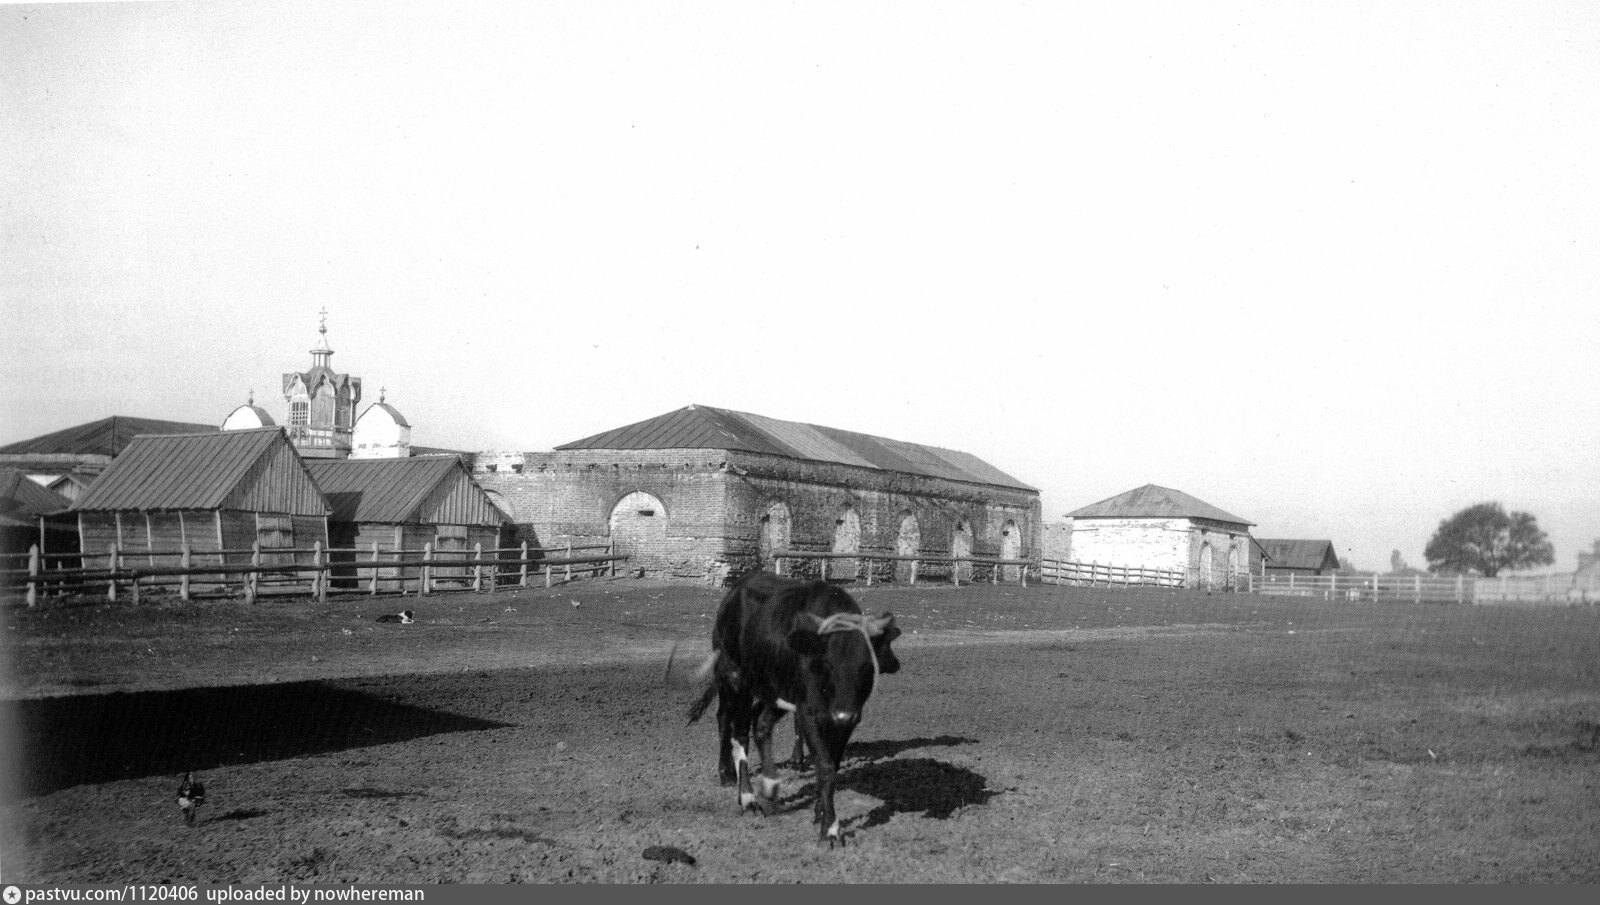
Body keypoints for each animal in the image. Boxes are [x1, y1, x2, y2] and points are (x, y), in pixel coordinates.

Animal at [681, 575, 896, 850]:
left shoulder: (846, 721)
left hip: (773, 691)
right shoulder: (808, 712)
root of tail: (733, 595)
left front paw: (820, 811)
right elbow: (825, 765)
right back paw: (744, 794)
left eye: (867, 667)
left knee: (760, 725)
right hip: (735, 681)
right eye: (827, 664)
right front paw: (831, 830)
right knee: (735, 731)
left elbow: (832, 765)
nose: (843, 714)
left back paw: (769, 785)